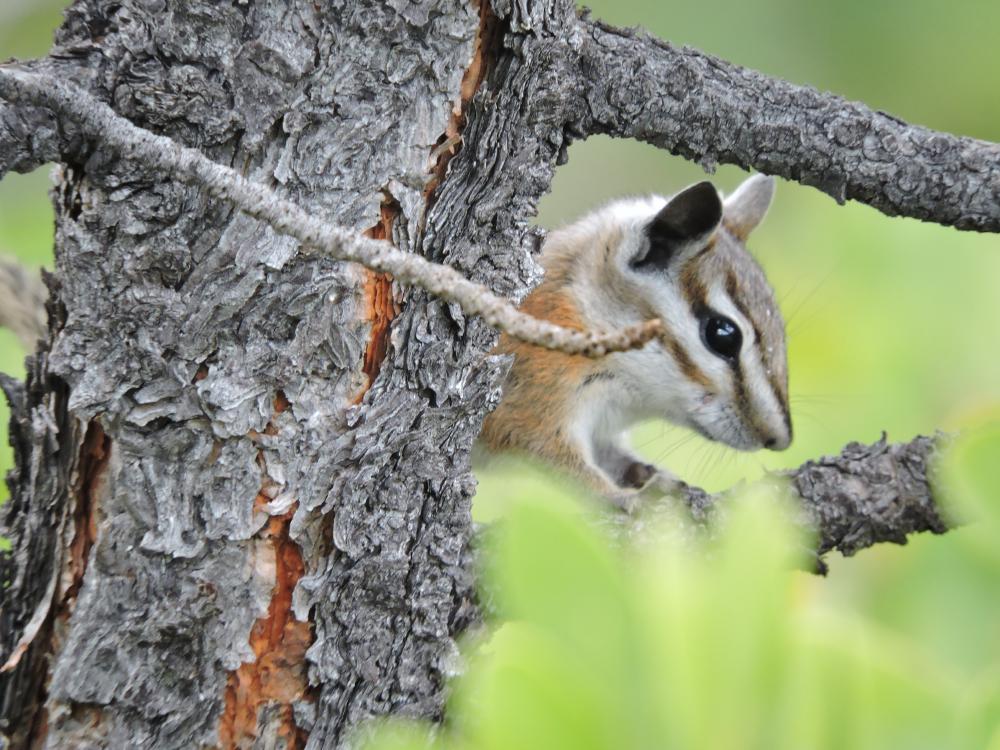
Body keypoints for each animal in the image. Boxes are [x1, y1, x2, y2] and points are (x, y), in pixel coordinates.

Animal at [479, 174, 791, 510]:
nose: (780, 439)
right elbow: (549, 458)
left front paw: (652, 476)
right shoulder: (528, 401)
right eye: (723, 335)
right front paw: (624, 498)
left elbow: (611, 457)